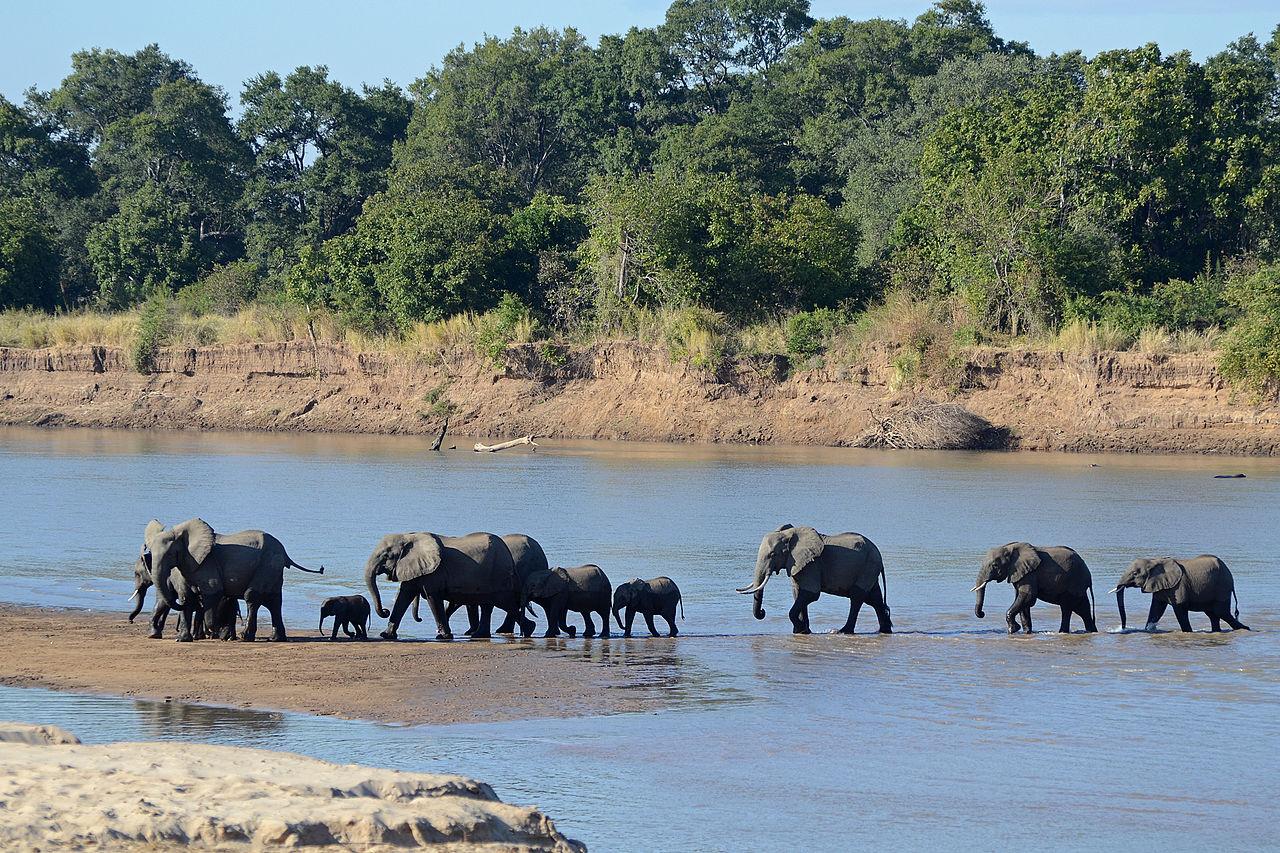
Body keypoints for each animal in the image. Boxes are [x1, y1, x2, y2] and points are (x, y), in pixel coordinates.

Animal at [363, 527, 517, 640]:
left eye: (386, 556)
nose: (385, 611)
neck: (409, 537)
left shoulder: (434, 573)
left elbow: (432, 597)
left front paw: (443, 637)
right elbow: (404, 595)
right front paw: (386, 635)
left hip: (497, 573)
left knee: (488, 603)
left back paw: (478, 635)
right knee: (486, 604)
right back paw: (479, 635)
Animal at [742, 522, 890, 635]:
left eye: (773, 554)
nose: (762, 612)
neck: (789, 535)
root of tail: (879, 555)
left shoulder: (812, 564)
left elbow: (810, 594)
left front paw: (801, 630)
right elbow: (797, 593)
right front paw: (802, 631)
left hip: (869, 566)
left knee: (857, 596)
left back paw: (843, 631)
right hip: (870, 568)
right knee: (874, 598)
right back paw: (884, 631)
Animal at [1116, 555, 1244, 627]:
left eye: (1135, 573)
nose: (1122, 628)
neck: (1155, 560)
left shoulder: (1179, 585)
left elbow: (1179, 609)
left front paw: (1188, 632)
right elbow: (1156, 609)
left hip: (1222, 586)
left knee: (1221, 612)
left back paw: (1245, 629)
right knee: (1213, 615)